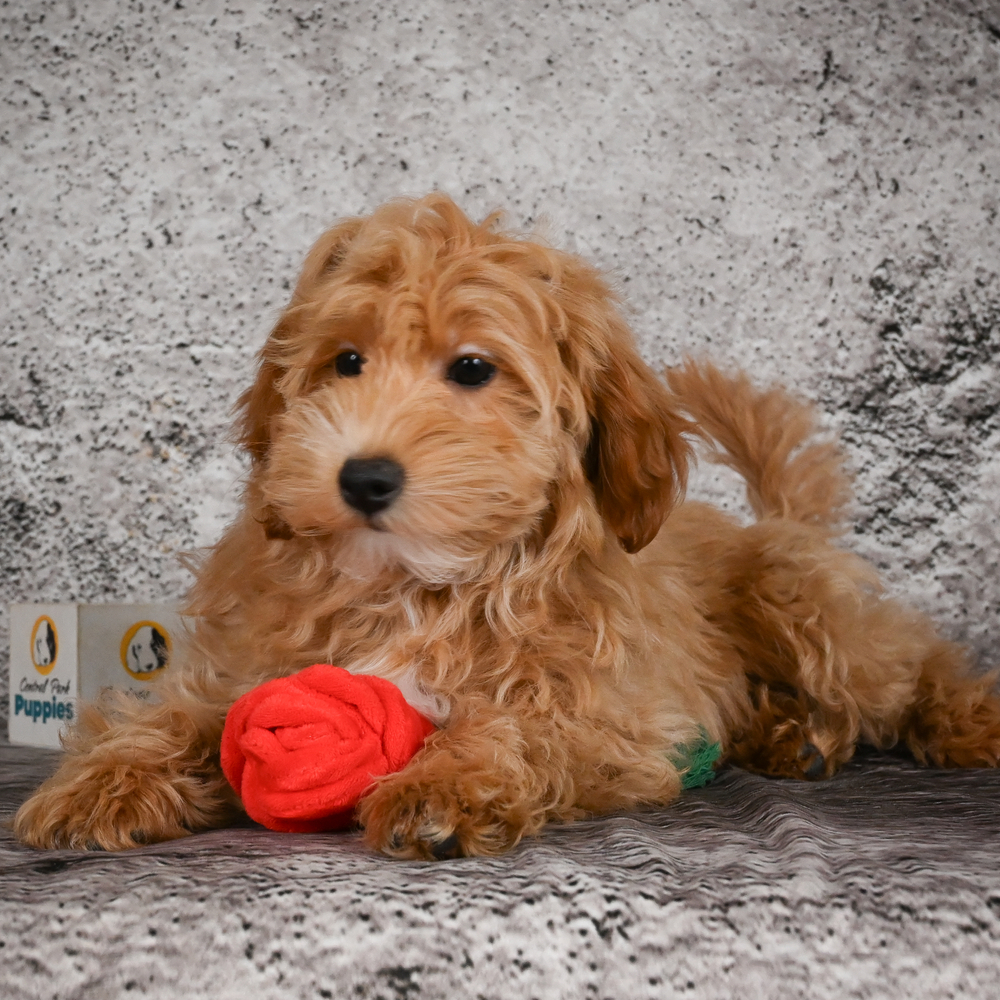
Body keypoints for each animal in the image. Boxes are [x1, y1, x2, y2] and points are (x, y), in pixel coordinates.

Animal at [15, 193, 1000, 858]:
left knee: (900, 669)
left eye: (472, 369)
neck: (416, 584)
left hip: (800, 599)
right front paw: (104, 781)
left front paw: (446, 783)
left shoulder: (618, 717)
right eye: (346, 361)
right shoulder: (253, 663)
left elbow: (527, 722)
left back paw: (957, 719)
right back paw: (786, 734)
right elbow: (187, 714)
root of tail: (779, 527)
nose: (363, 476)